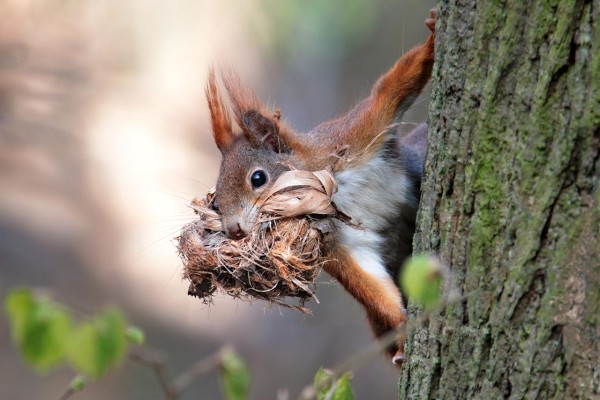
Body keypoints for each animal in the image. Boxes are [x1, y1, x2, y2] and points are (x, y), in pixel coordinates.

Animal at [205, 10, 436, 366]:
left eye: (257, 179)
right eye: (215, 203)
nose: (234, 230)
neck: (333, 190)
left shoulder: (356, 133)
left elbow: (391, 89)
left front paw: (434, 36)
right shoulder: (340, 242)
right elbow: (370, 284)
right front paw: (401, 326)